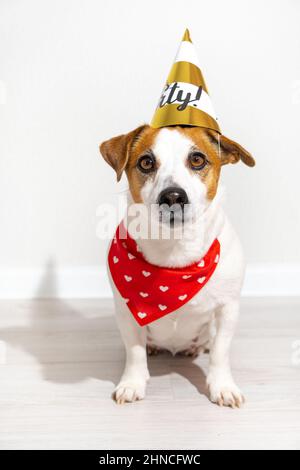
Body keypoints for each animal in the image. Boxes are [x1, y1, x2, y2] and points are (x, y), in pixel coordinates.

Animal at [99, 125, 254, 408]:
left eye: (197, 160)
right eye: (146, 162)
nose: (172, 196)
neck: (174, 253)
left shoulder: (227, 309)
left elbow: (220, 352)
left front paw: (223, 386)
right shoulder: (127, 312)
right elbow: (134, 352)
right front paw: (132, 383)